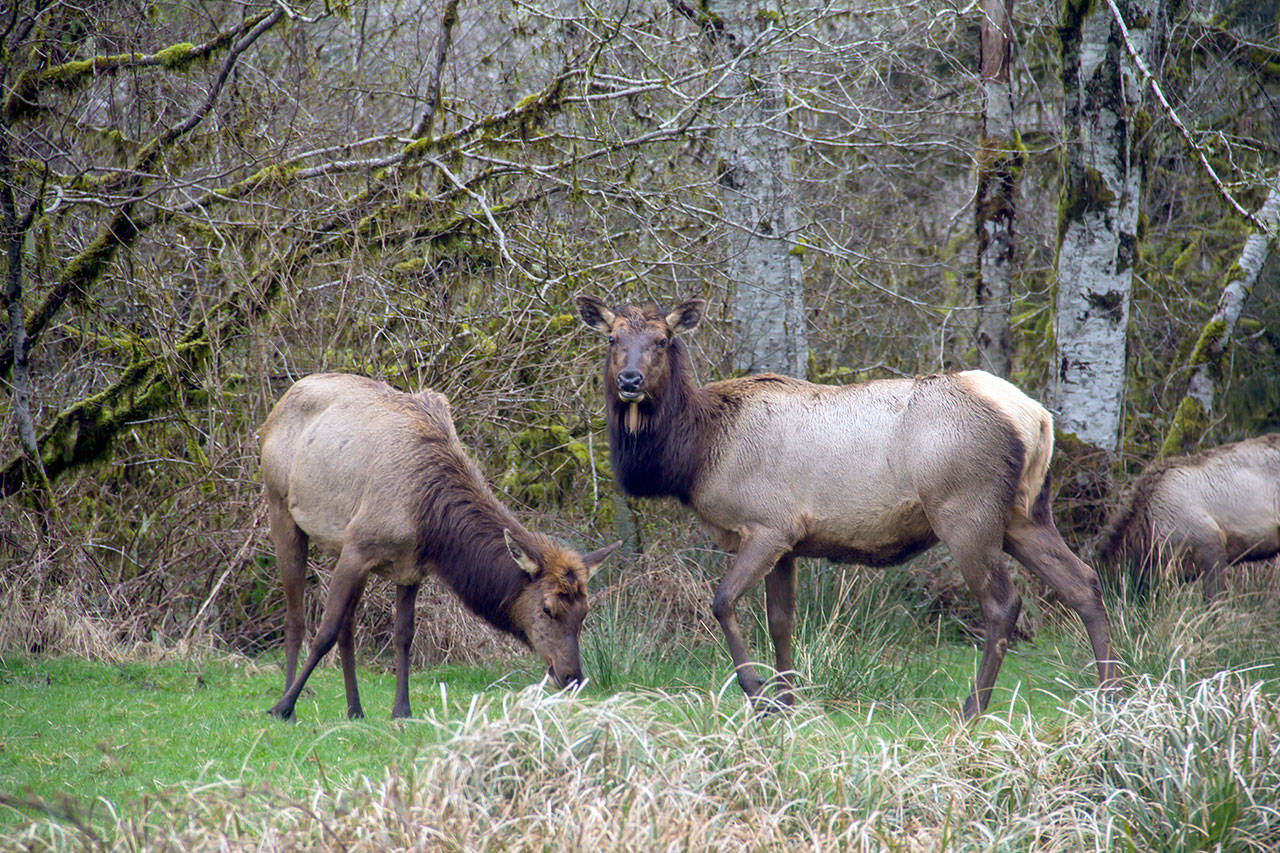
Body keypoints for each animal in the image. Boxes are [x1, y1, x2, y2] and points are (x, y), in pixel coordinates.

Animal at [260, 372, 619, 720]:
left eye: (585, 612)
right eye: (547, 608)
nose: (572, 677)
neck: (430, 524)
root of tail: (278, 406)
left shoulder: (407, 568)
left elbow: (403, 636)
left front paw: (402, 710)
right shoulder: (360, 546)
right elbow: (325, 631)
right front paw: (282, 706)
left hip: (340, 543)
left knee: (348, 625)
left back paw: (355, 709)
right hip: (282, 508)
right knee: (296, 617)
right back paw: (290, 701)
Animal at [575, 294, 1117, 718]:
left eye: (663, 340)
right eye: (612, 339)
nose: (629, 380)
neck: (697, 454)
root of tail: (1038, 417)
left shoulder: (767, 525)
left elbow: (723, 600)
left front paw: (758, 693)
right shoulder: (788, 542)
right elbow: (781, 620)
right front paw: (787, 699)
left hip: (966, 510)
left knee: (1002, 603)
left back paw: (973, 708)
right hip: (1025, 513)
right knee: (1083, 581)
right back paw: (1109, 692)